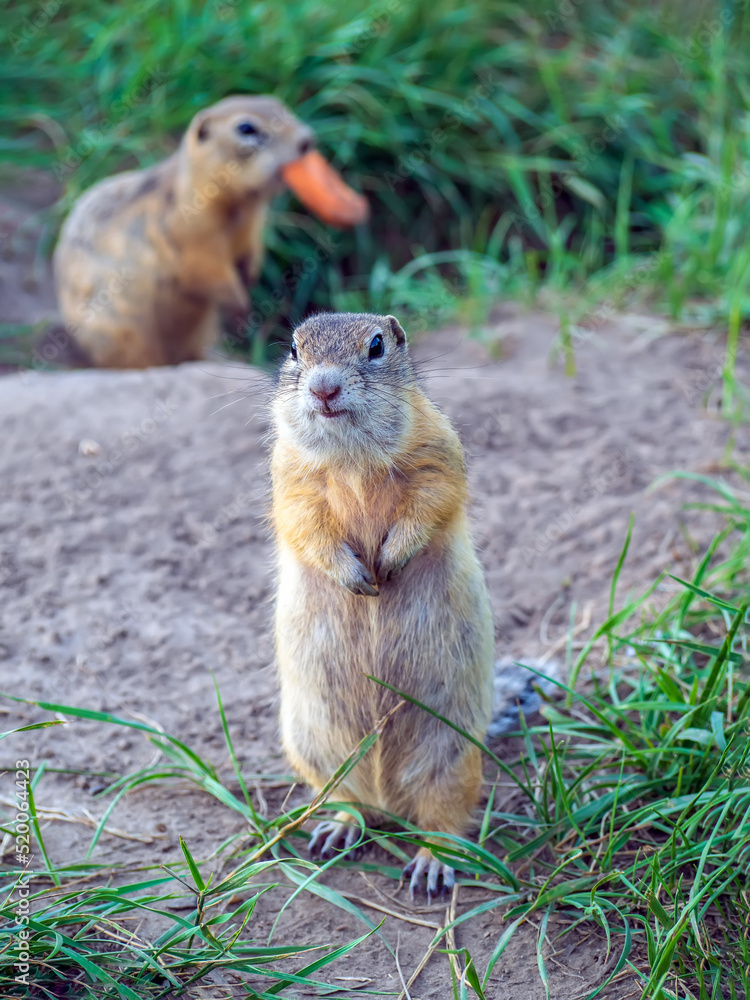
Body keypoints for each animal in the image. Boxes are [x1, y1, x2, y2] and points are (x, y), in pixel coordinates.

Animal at [53, 93, 370, 368]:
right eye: (246, 128)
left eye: (282, 106)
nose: (307, 139)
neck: (238, 208)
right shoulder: (190, 232)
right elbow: (205, 270)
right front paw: (242, 308)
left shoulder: (250, 229)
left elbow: (248, 255)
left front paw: (249, 282)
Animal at [268, 310, 494, 900]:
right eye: (294, 350)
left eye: (376, 346)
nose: (323, 388)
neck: (352, 457)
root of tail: (388, 794)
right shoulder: (289, 480)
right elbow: (304, 524)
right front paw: (358, 579)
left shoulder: (438, 456)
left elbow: (431, 502)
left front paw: (389, 563)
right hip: (316, 750)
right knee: (352, 804)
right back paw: (335, 832)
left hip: (452, 757)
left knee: (443, 823)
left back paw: (429, 867)